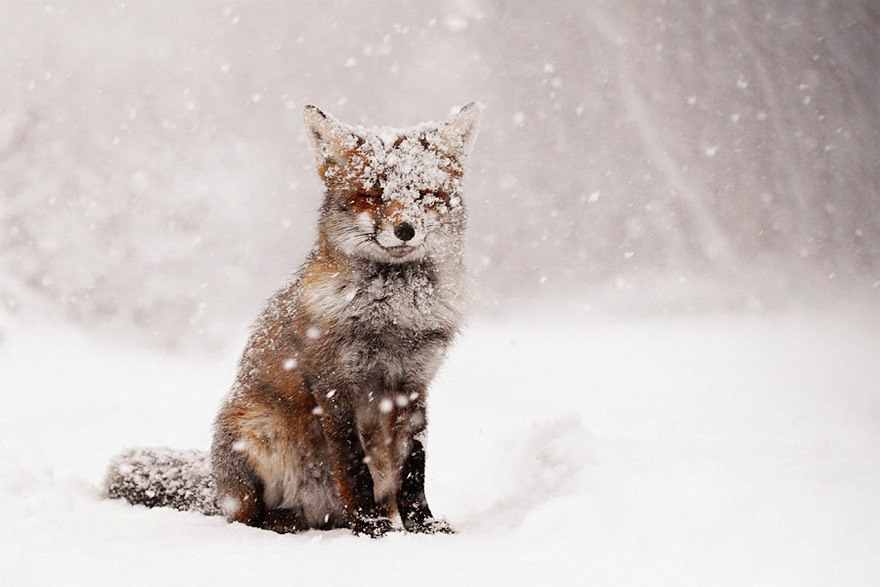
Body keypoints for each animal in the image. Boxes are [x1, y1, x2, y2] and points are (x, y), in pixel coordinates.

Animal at [105, 103, 480, 537]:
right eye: (371, 195)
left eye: (425, 195)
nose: (405, 229)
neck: (391, 318)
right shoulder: (334, 383)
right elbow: (352, 465)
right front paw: (369, 527)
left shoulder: (414, 384)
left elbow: (413, 468)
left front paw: (423, 525)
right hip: (257, 432)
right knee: (249, 517)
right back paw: (289, 523)